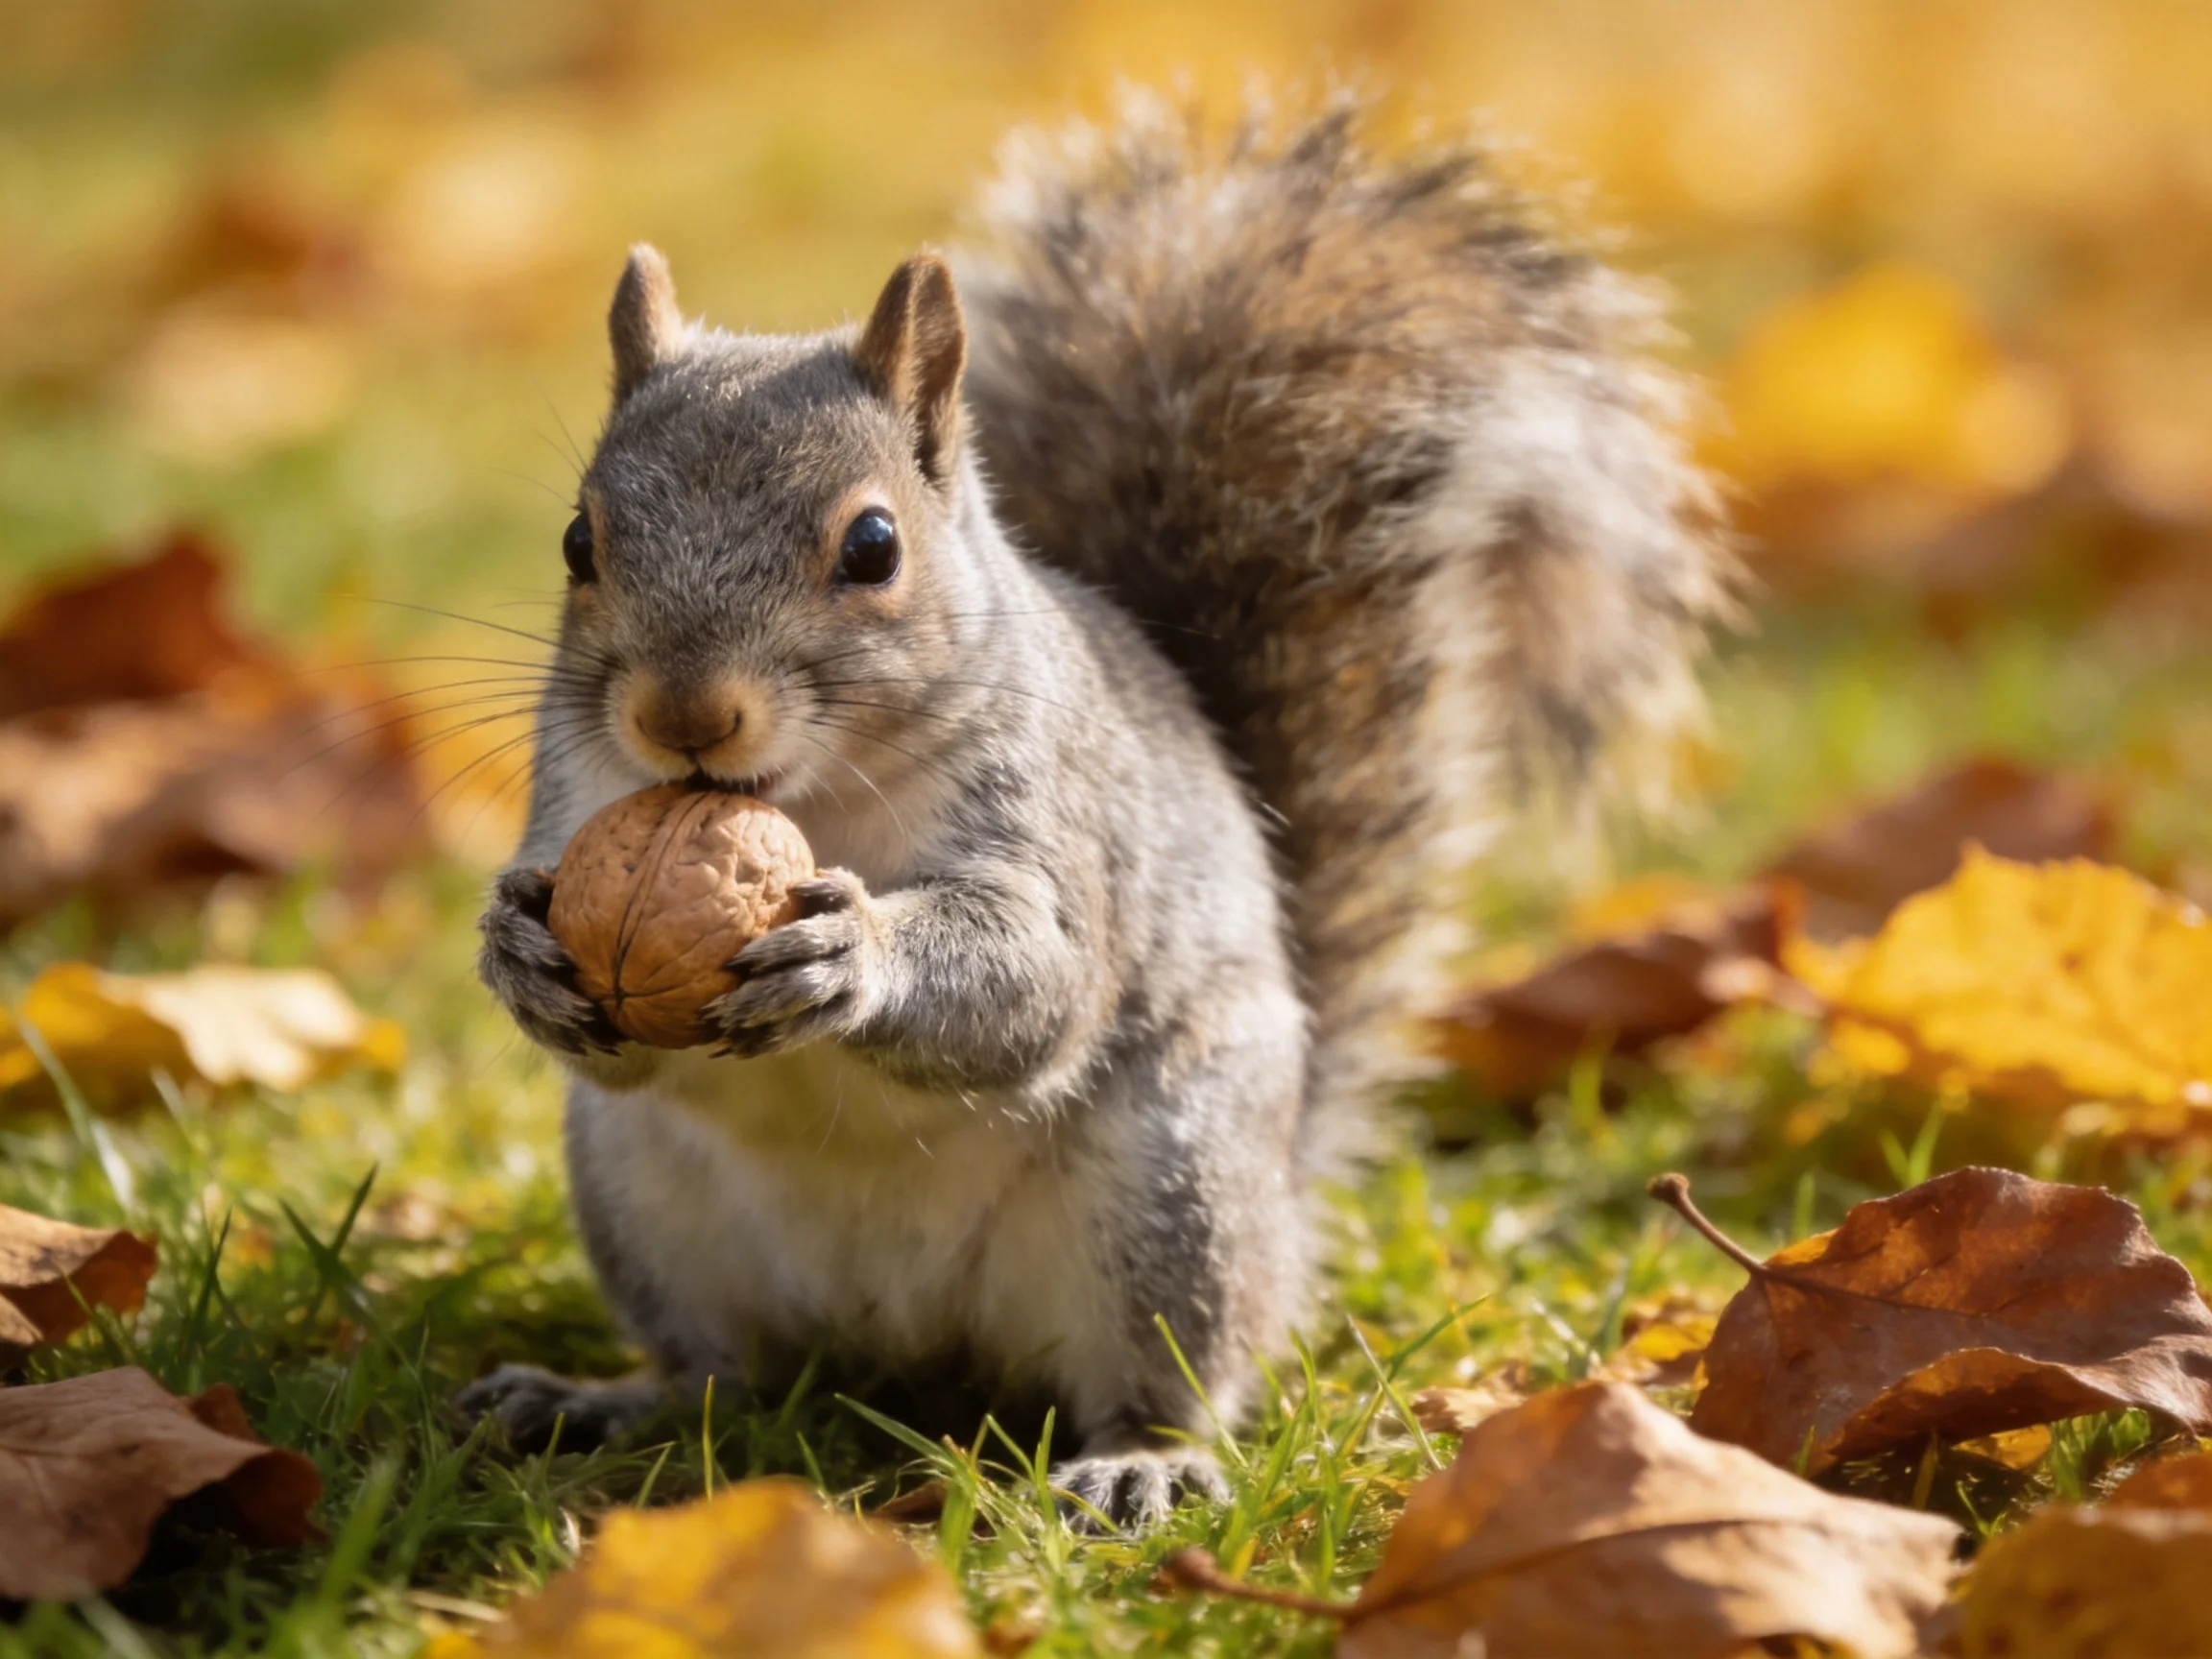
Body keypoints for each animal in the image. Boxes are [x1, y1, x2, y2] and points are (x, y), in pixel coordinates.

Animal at [458, 92, 1729, 1525]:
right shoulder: (578, 799)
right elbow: (597, 1016)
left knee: (1170, 1376)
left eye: (874, 548)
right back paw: (600, 1402)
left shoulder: (1056, 822)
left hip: (1170, 1202)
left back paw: (1142, 1464)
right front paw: (517, 947)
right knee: (721, 1373)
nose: (682, 716)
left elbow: (1037, 978)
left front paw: (854, 952)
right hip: (645, 1200)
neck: (810, 797)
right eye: (580, 542)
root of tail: (902, 1347)